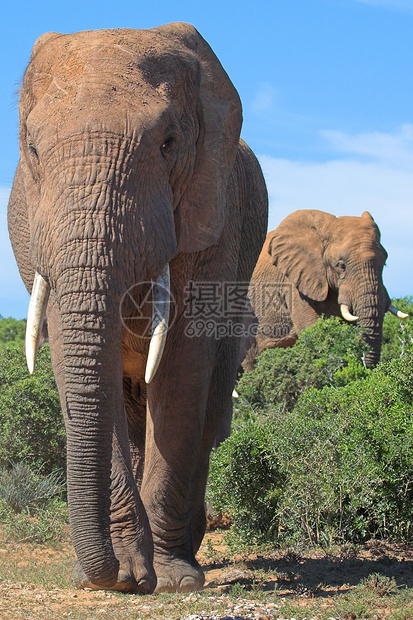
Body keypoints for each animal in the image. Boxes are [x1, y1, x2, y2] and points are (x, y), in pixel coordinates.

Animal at [8, 24, 270, 592]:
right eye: (32, 149)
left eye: (168, 144)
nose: (103, 577)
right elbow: (75, 365)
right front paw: (126, 576)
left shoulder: (215, 219)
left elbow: (181, 371)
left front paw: (172, 581)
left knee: (208, 411)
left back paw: (188, 547)